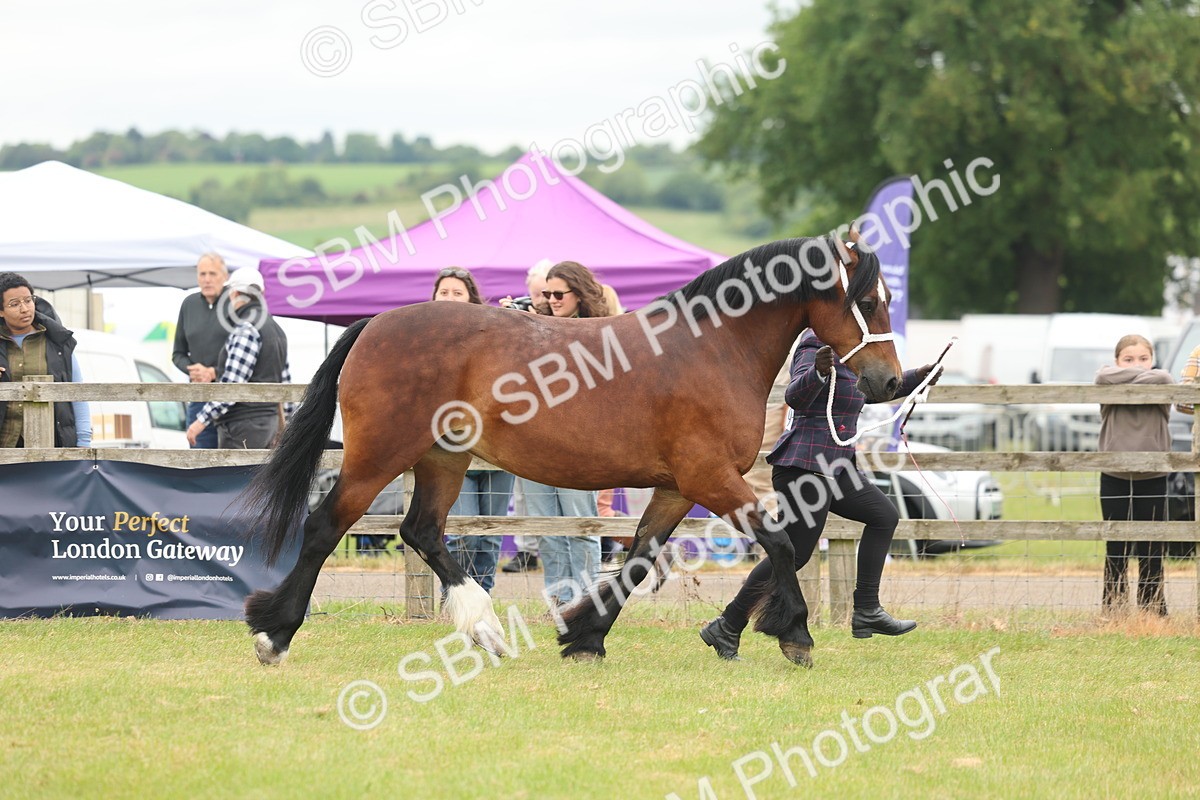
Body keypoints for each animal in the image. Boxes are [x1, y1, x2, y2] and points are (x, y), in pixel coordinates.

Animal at [241, 232, 901, 667]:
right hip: (378, 458)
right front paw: (796, 636)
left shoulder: (674, 487)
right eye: (868, 302)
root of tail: (374, 324)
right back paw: (275, 636)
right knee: (325, 526)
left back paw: (486, 631)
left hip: (443, 459)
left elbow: (638, 557)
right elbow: (780, 543)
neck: (713, 347)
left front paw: (584, 636)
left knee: (421, 531)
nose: (890, 382)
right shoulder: (710, 478)